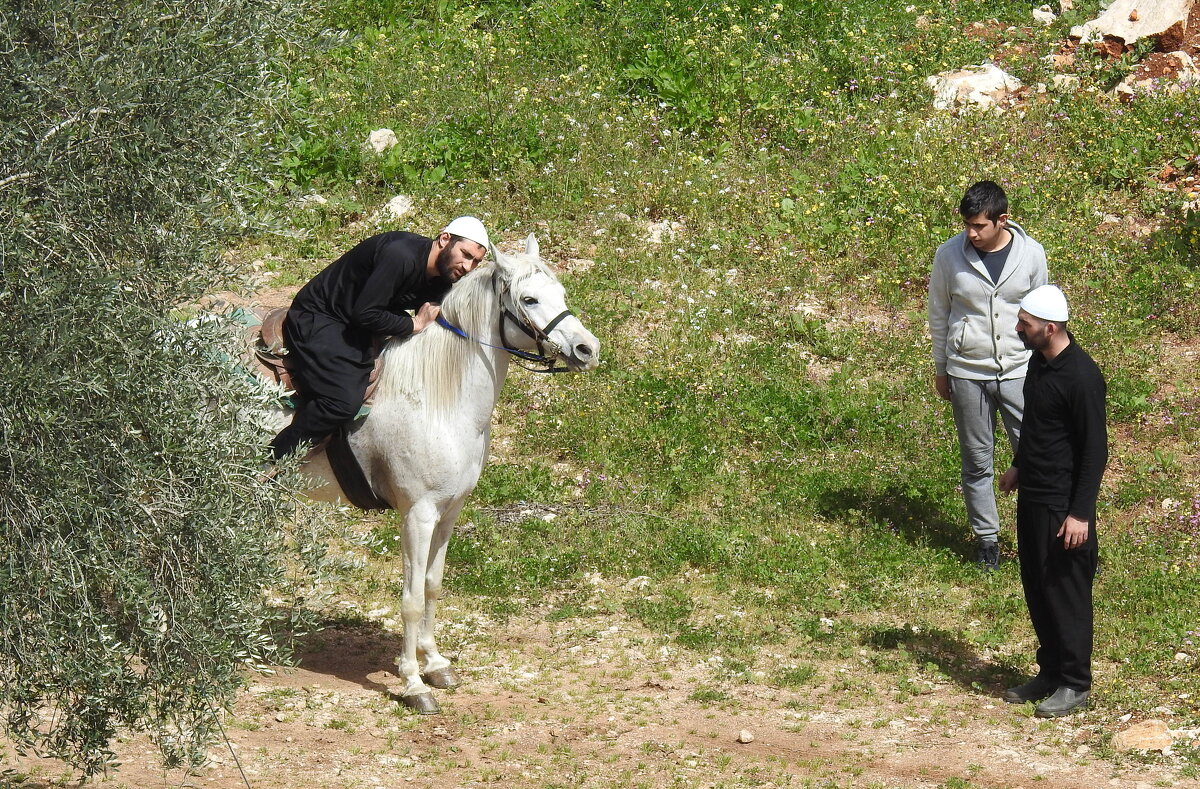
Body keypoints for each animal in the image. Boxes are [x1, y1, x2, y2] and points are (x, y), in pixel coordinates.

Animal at [297, 233, 597, 714]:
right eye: (529, 299)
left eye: (562, 293)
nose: (588, 349)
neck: (437, 399)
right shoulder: (416, 515)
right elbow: (411, 599)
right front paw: (413, 683)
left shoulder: (449, 511)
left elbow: (434, 586)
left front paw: (435, 664)